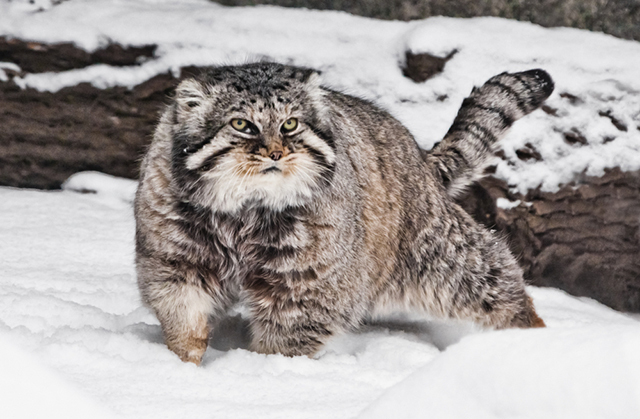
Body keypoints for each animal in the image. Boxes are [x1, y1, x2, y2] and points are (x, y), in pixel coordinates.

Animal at [134, 62, 552, 364]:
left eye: (290, 124)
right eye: (241, 124)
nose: (276, 153)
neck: (245, 208)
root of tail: (421, 157)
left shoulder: (309, 284)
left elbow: (287, 337)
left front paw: (266, 371)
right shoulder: (176, 256)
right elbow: (183, 312)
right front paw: (184, 363)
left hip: (439, 255)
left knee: (492, 280)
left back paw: (533, 335)